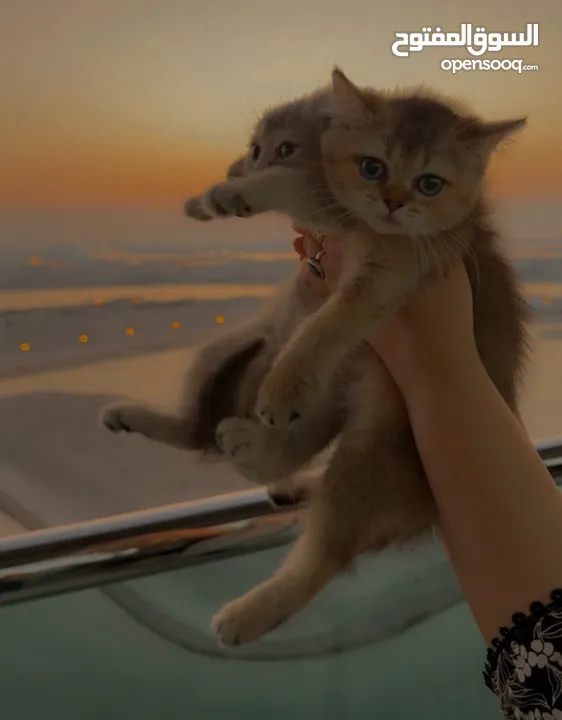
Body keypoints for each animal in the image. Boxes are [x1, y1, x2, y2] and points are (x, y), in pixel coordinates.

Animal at [182, 69, 528, 648]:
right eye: (373, 166)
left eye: (430, 183)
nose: (392, 202)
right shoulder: (342, 216)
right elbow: (305, 189)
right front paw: (222, 191)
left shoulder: (388, 275)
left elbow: (325, 323)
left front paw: (234, 190)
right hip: (353, 382)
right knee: (303, 441)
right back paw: (265, 457)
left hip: (367, 455)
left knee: (327, 555)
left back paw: (248, 613)